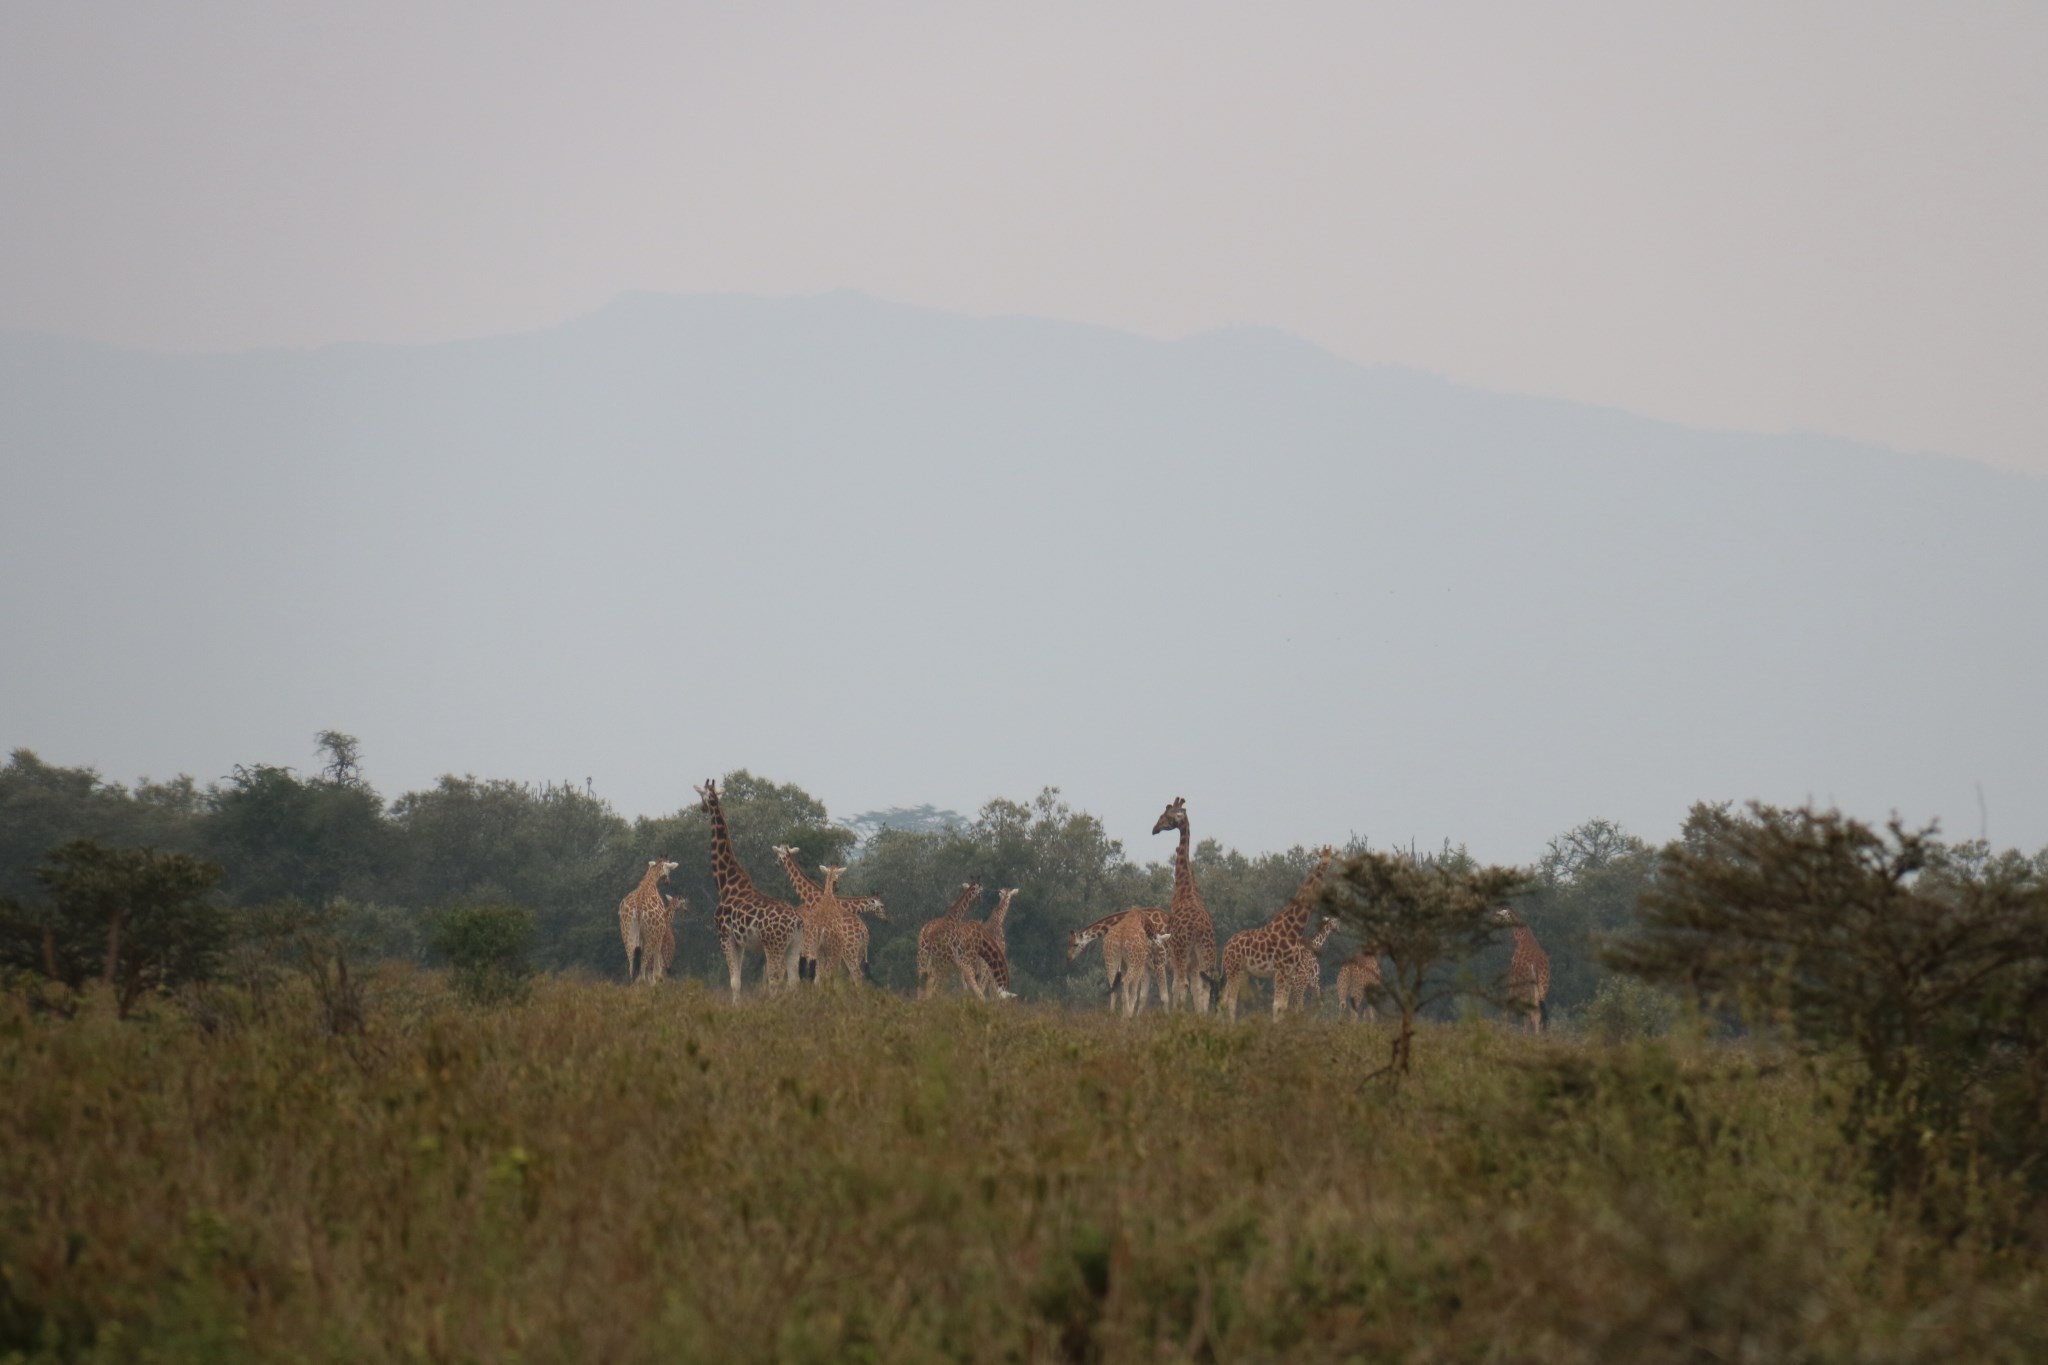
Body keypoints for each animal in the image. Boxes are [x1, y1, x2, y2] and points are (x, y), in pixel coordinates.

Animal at [696, 785, 806, 998]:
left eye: (702, 795)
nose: (702, 807)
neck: (725, 883)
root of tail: (796, 920)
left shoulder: (725, 936)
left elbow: (734, 982)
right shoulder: (740, 942)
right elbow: (738, 981)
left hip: (774, 946)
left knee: (775, 981)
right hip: (794, 945)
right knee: (794, 982)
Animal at [1155, 794, 1212, 1010]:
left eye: (1164, 815)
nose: (1154, 829)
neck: (1185, 887)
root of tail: (1199, 928)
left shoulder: (1174, 950)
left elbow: (1177, 987)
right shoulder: (1193, 959)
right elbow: (1196, 987)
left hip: (1182, 952)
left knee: (1182, 982)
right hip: (1206, 950)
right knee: (1205, 985)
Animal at [1212, 843, 1343, 1023]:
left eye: (1331, 856)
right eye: (1319, 855)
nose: (1324, 863)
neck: (1294, 929)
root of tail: (1226, 946)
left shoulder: (1289, 974)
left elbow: (1284, 1006)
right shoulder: (1283, 971)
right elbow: (1278, 1006)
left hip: (1240, 970)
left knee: (1225, 1000)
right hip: (1234, 969)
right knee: (1230, 1000)